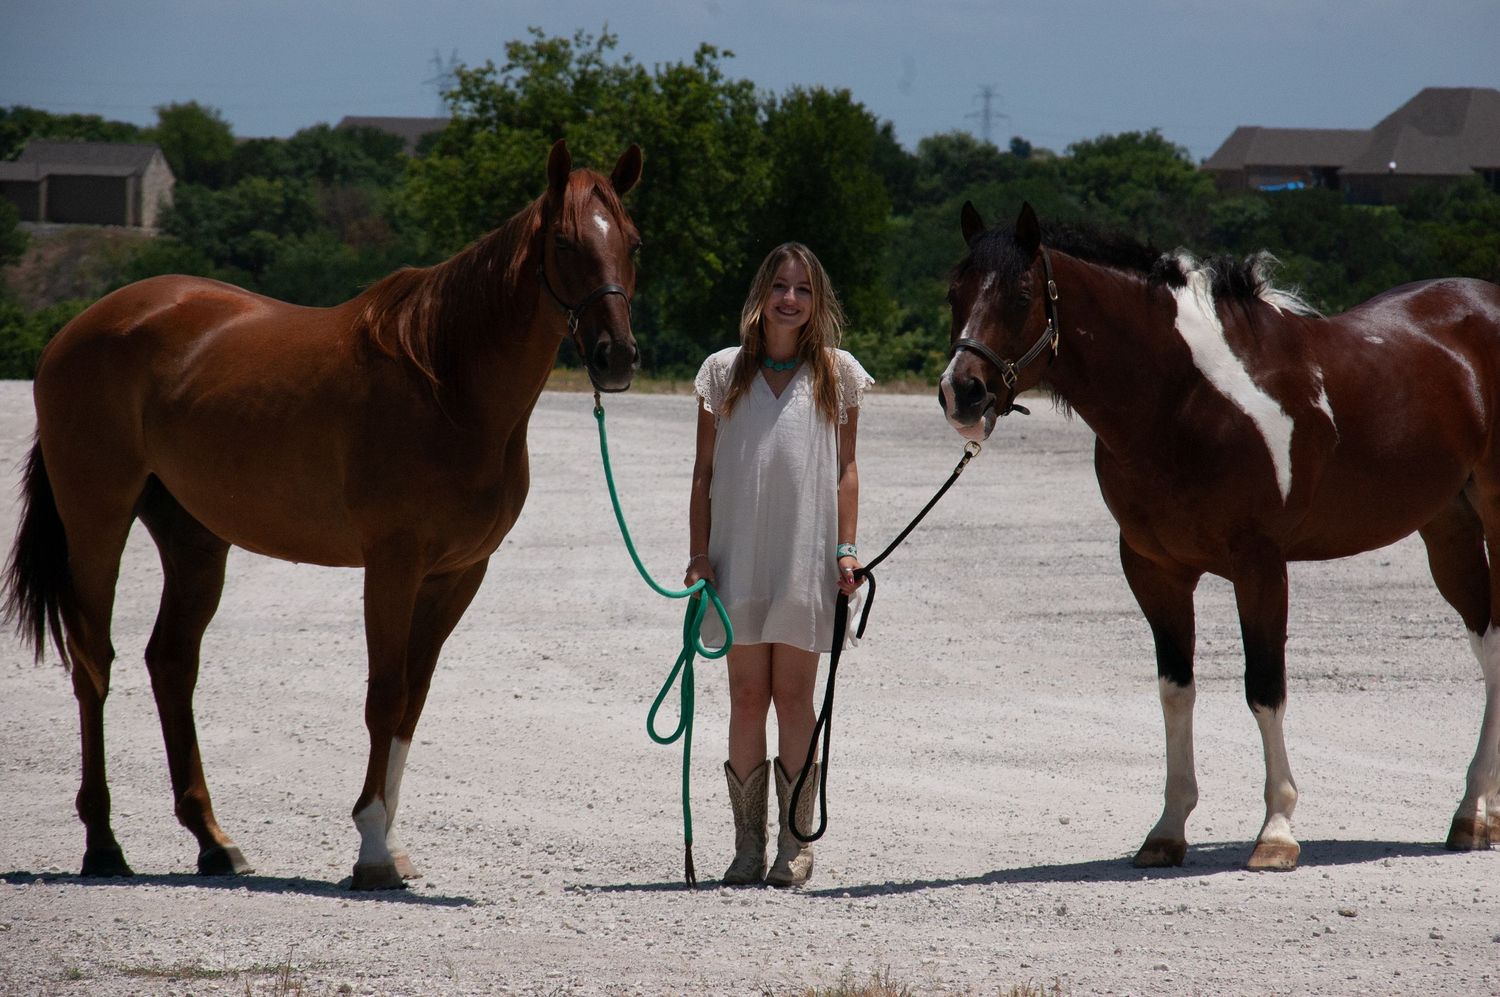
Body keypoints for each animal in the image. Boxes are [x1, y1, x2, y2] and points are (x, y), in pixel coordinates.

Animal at [3, 139, 643, 890]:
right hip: (97, 519)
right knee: (92, 661)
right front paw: (371, 848)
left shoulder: (458, 574)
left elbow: (413, 701)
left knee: (171, 662)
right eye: (566, 242)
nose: (617, 357)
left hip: (195, 540)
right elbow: (386, 695)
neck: (447, 384)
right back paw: (103, 844)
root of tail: (75, 331)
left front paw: (390, 843)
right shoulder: (393, 565)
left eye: (632, 242)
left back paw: (214, 841)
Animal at [938, 201, 1500, 871]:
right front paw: (1166, 830)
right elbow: (1175, 690)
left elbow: (1265, 688)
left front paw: (1277, 833)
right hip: (1448, 528)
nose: (961, 392)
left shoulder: (1259, 564)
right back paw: (1481, 815)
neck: (1185, 400)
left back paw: (1470, 812)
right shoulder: (1154, 569)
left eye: (1022, 296)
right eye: (954, 293)